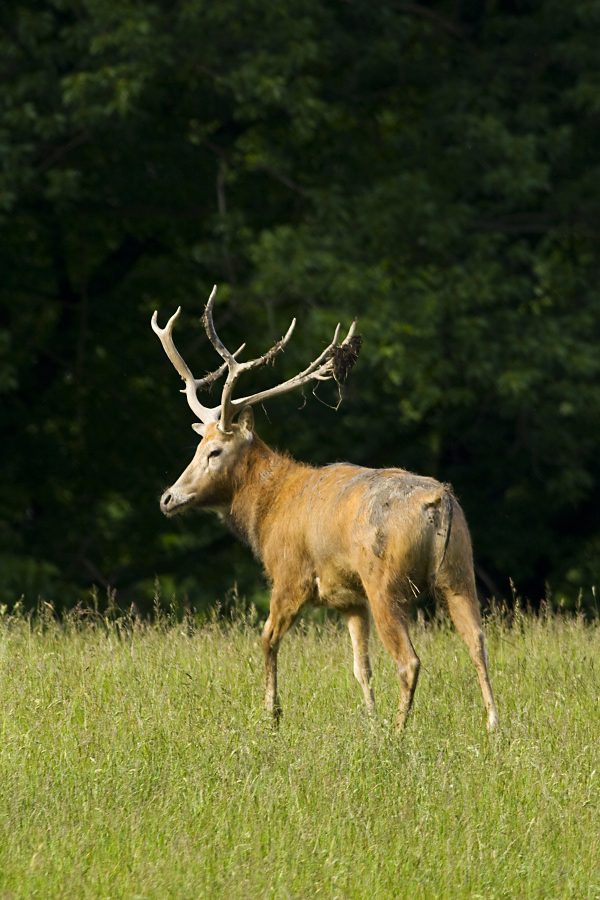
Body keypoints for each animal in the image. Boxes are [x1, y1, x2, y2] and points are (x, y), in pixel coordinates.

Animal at [151, 286, 499, 733]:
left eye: (214, 451)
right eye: (197, 446)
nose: (168, 498)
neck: (269, 510)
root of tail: (437, 503)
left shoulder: (291, 575)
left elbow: (266, 638)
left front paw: (272, 714)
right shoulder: (350, 600)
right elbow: (360, 666)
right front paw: (368, 717)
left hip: (385, 580)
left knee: (409, 660)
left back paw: (399, 732)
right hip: (459, 568)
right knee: (477, 642)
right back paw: (493, 725)